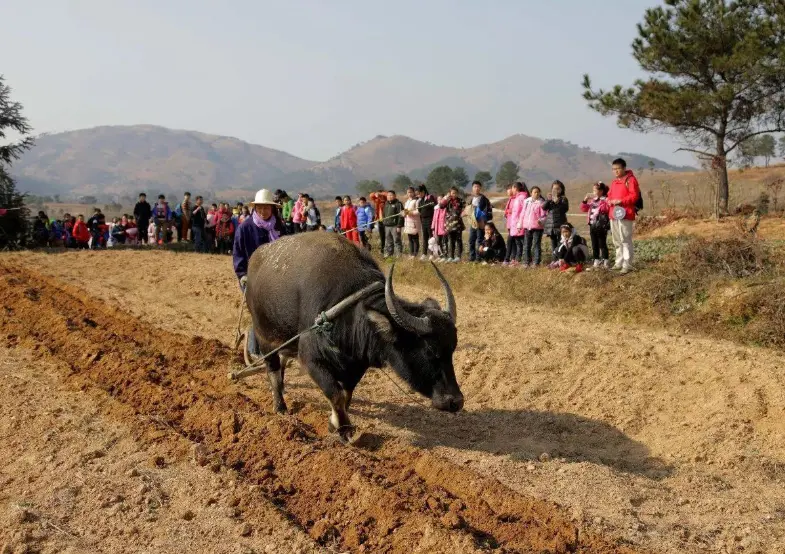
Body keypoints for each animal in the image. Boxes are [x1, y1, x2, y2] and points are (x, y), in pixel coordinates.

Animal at [245, 231, 462, 442]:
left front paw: (335, 423)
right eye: (430, 351)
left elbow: (346, 395)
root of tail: (256, 257)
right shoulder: (311, 360)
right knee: (273, 370)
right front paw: (345, 430)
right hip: (264, 338)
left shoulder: (356, 364)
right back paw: (280, 406)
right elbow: (335, 394)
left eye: (452, 350)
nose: (456, 401)